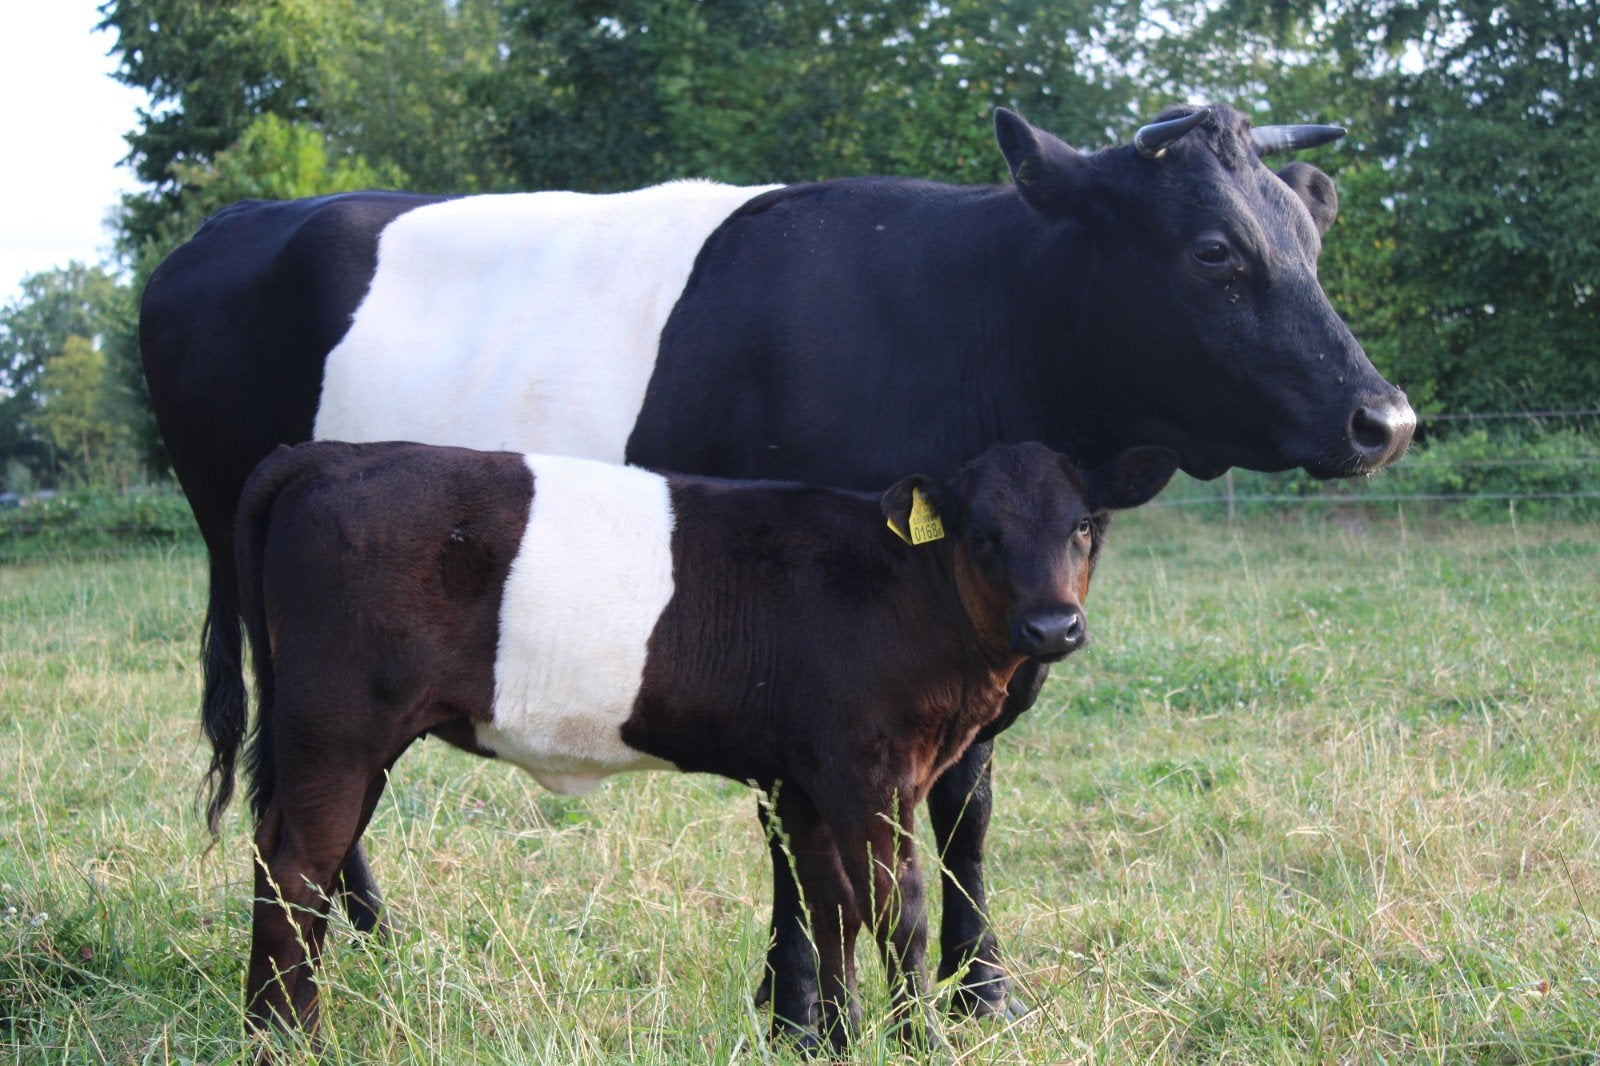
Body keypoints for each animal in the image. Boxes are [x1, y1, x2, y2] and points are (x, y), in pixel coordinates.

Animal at [233, 439, 1179, 1051]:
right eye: (982, 532)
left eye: (1084, 524)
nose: (1052, 625)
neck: (910, 592)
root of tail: (327, 455)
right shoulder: (871, 769)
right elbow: (896, 907)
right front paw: (920, 1042)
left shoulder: (807, 780)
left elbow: (830, 904)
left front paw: (836, 1039)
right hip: (339, 727)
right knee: (297, 867)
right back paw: (288, 1038)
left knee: (287, 859)